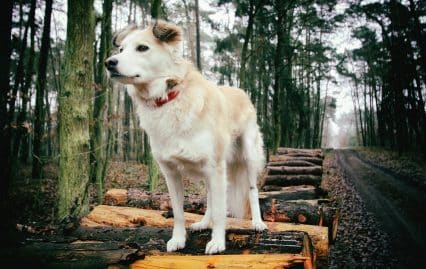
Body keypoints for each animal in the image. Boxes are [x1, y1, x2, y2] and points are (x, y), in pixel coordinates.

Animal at [105, 20, 266, 253]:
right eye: (121, 50)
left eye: (142, 48)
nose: (109, 63)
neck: (168, 99)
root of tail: (241, 92)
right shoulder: (171, 173)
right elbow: (179, 212)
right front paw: (178, 239)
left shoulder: (215, 167)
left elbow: (221, 211)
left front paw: (218, 242)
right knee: (211, 198)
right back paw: (204, 223)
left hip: (248, 158)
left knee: (252, 191)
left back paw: (257, 223)